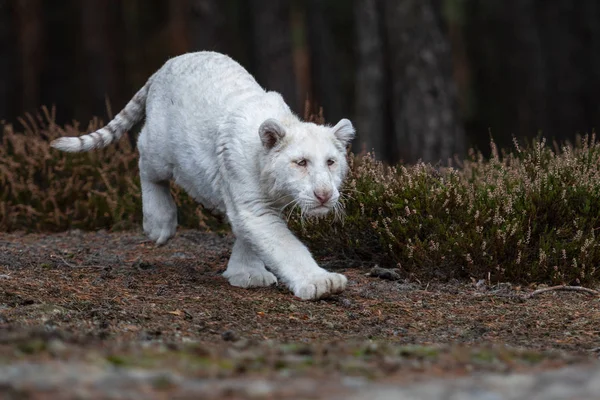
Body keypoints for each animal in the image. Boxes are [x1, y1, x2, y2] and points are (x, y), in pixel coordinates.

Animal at [51, 50, 354, 300]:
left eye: (330, 162)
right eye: (301, 162)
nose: (324, 194)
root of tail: (166, 65)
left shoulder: (253, 205)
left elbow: (252, 237)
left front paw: (245, 273)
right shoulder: (254, 206)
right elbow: (286, 245)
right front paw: (319, 282)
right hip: (160, 150)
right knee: (144, 159)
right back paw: (159, 223)